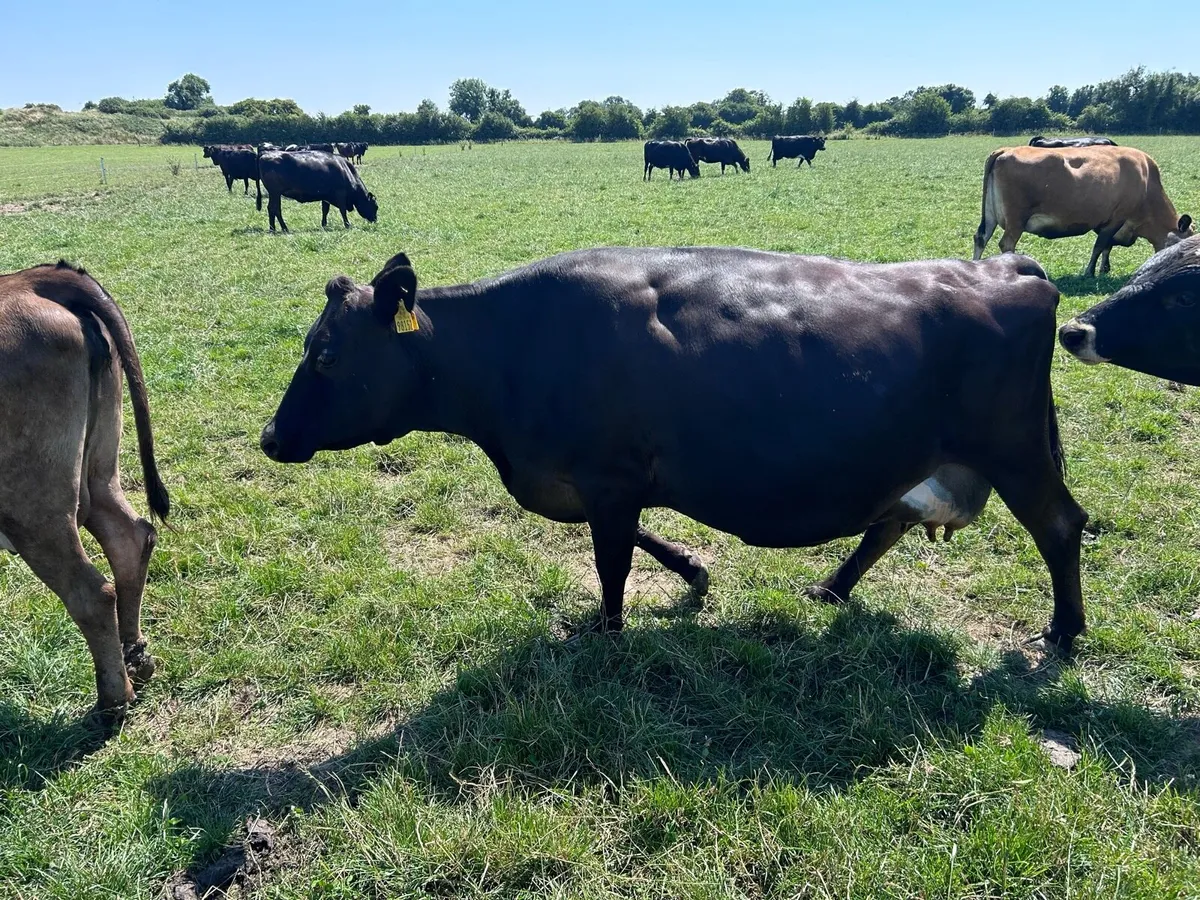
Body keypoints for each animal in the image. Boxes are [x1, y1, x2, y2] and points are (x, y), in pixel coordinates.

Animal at [0, 261, 169, 726]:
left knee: (90, 592)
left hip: (31, 505)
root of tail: (32, 279)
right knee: (130, 538)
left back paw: (112, 700)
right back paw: (135, 660)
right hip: (99, 468)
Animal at [260, 247, 1089, 653]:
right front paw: (694, 572)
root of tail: (1007, 268)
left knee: (1060, 527)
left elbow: (612, 560)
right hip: (933, 457)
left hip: (1015, 452)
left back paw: (1065, 631)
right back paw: (831, 590)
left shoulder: (608, 475)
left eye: (326, 354)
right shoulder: (608, 481)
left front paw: (607, 632)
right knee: (888, 523)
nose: (271, 438)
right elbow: (641, 538)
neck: (512, 348)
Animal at [973, 145, 1195, 277]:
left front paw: (1104, 269)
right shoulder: (1117, 217)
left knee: (981, 237)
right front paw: (1090, 272)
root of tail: (1005, 150)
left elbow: (1107, 247)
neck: (1146, 182)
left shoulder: (1106, 221)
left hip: (991, 215)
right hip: (1016, 220)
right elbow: (1100, 245)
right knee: (1007, 243)